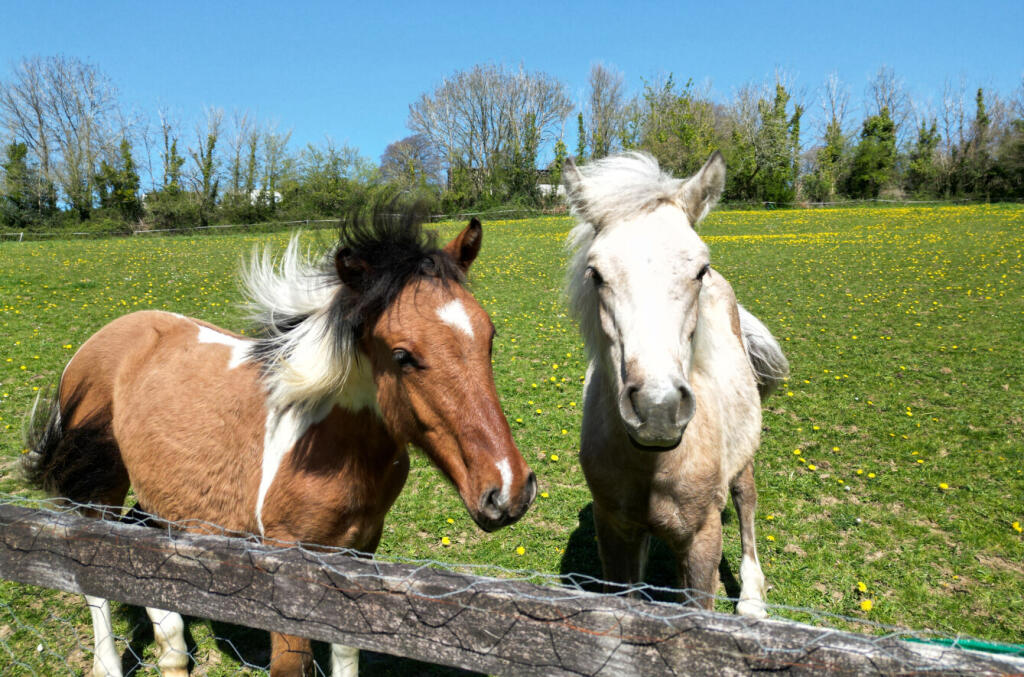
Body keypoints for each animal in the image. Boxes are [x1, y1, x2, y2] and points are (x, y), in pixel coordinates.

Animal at [24, 213, 537, 677]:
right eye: (402, 355)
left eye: (489, 337)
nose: (509, 490)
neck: (328, 442)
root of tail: (95, 342)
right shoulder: (287, 560)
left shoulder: (358, 550)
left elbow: (346, 653)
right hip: (100, 489)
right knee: (94, 571)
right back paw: (110, 664)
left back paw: (172, 653)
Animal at [562, 151, 788, 618]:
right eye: (595, 273)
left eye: (700, 269)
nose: (658, 409)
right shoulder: (613, 530)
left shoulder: (702, 538)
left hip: (743, 456)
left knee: (747, 500)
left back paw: (752, 597)